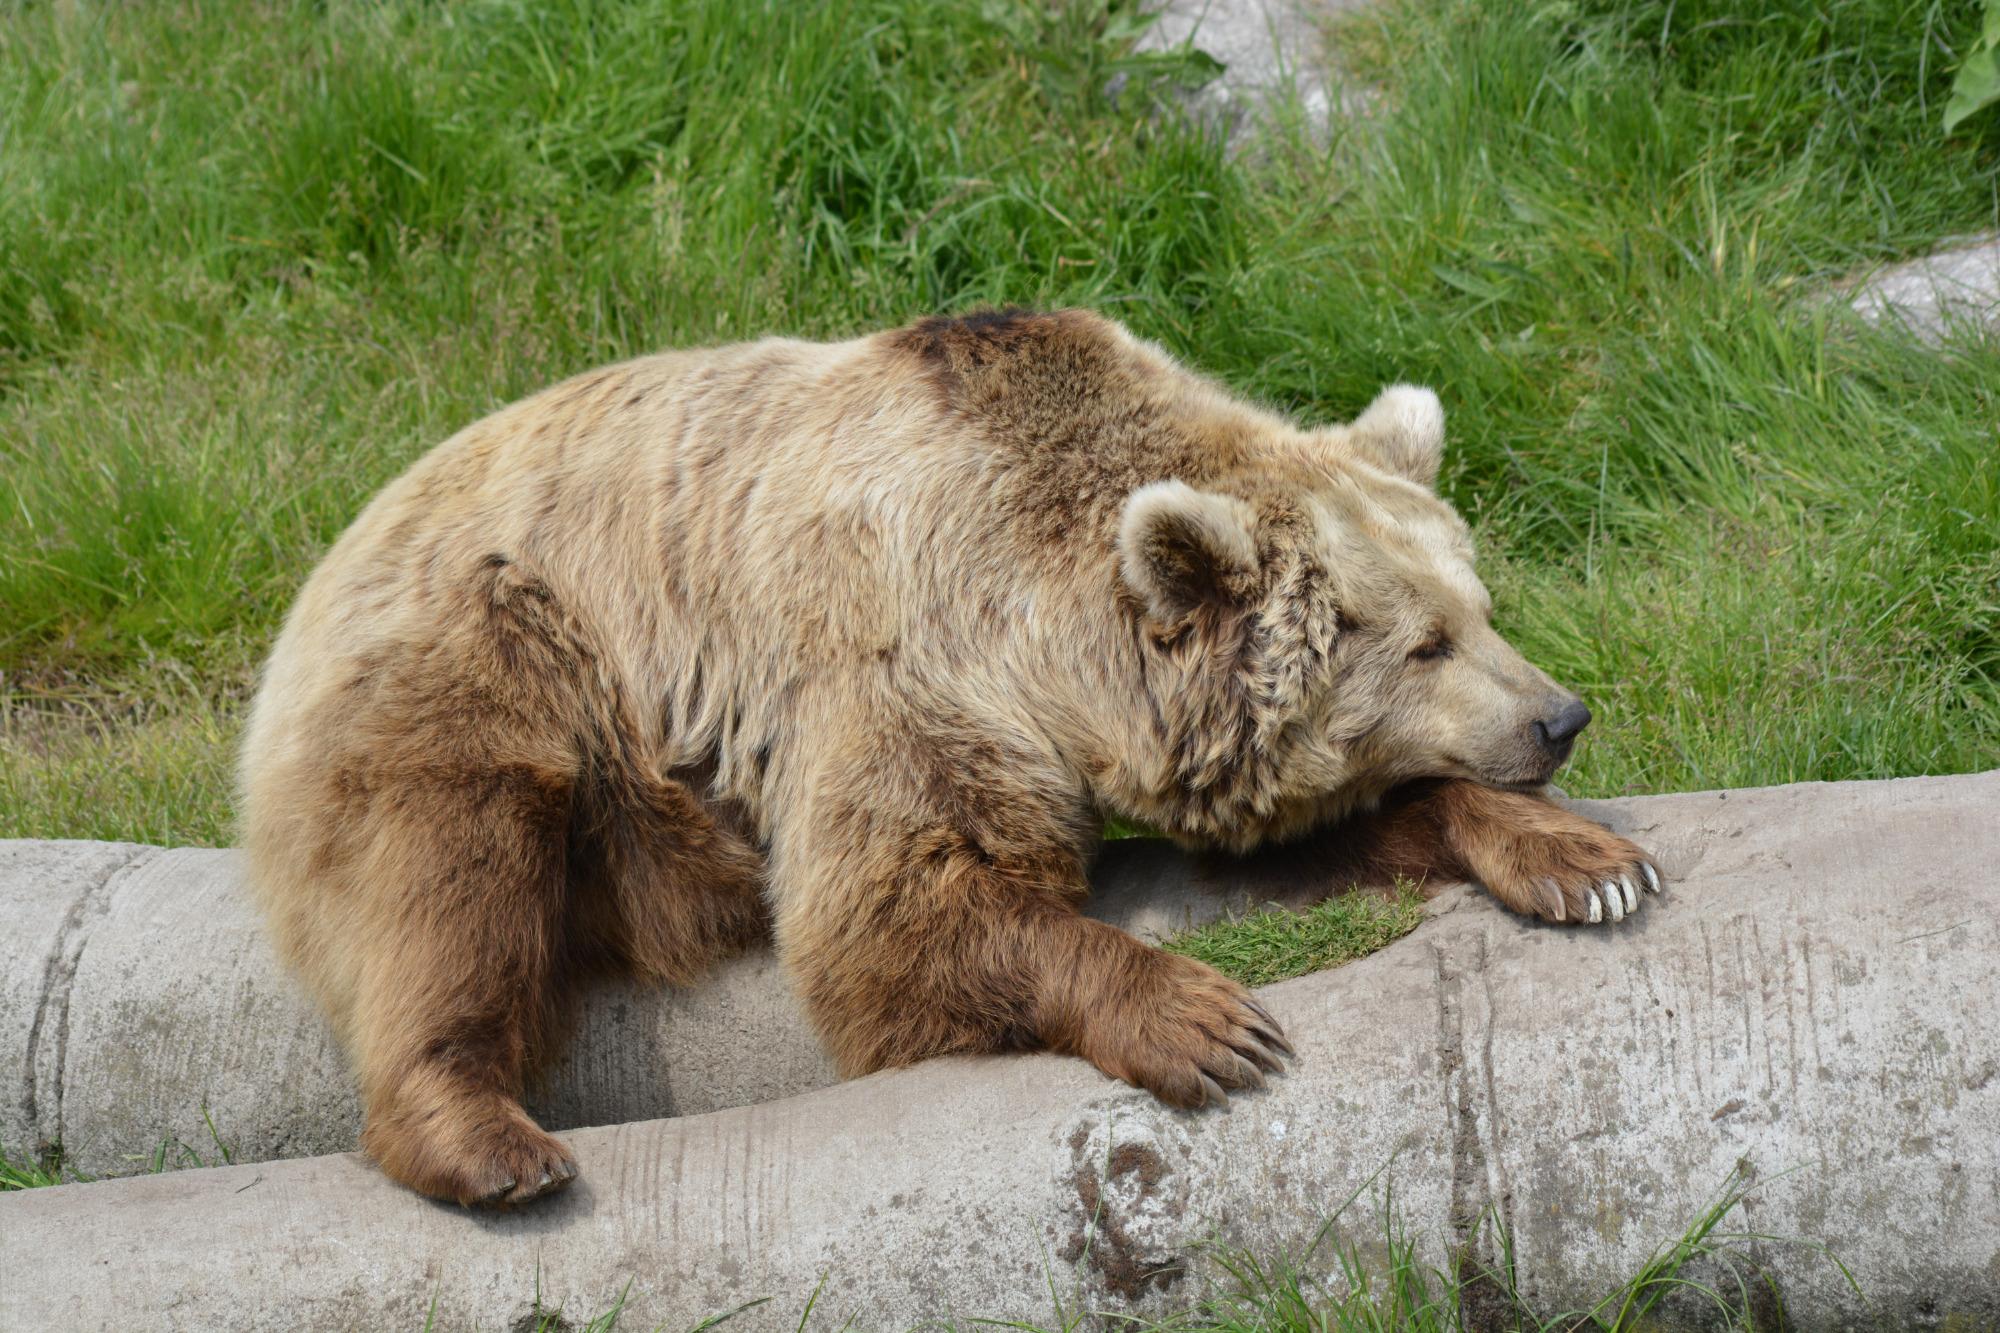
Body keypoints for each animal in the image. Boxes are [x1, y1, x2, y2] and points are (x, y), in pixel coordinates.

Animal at [242, 308, 1664, 1200]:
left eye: (1479, 607)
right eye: (1422, 642)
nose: (1558, 716)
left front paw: (1586, 863)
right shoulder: (888, 655)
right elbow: (897, 908)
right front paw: (1203, 1021)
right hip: (495, 658)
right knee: (450, 865)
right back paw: (486, 1137)